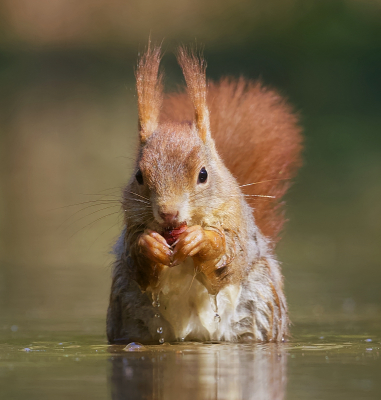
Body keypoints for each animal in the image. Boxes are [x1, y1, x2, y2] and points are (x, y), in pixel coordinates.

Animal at [105, 43, 302, 344]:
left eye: (203, 174)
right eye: (138, 176)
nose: (168, 213)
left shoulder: (236, 226)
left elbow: (229, 257)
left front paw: (201, 240)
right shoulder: (131, 228)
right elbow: (137, 262)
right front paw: (149, 244)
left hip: (260, 306)